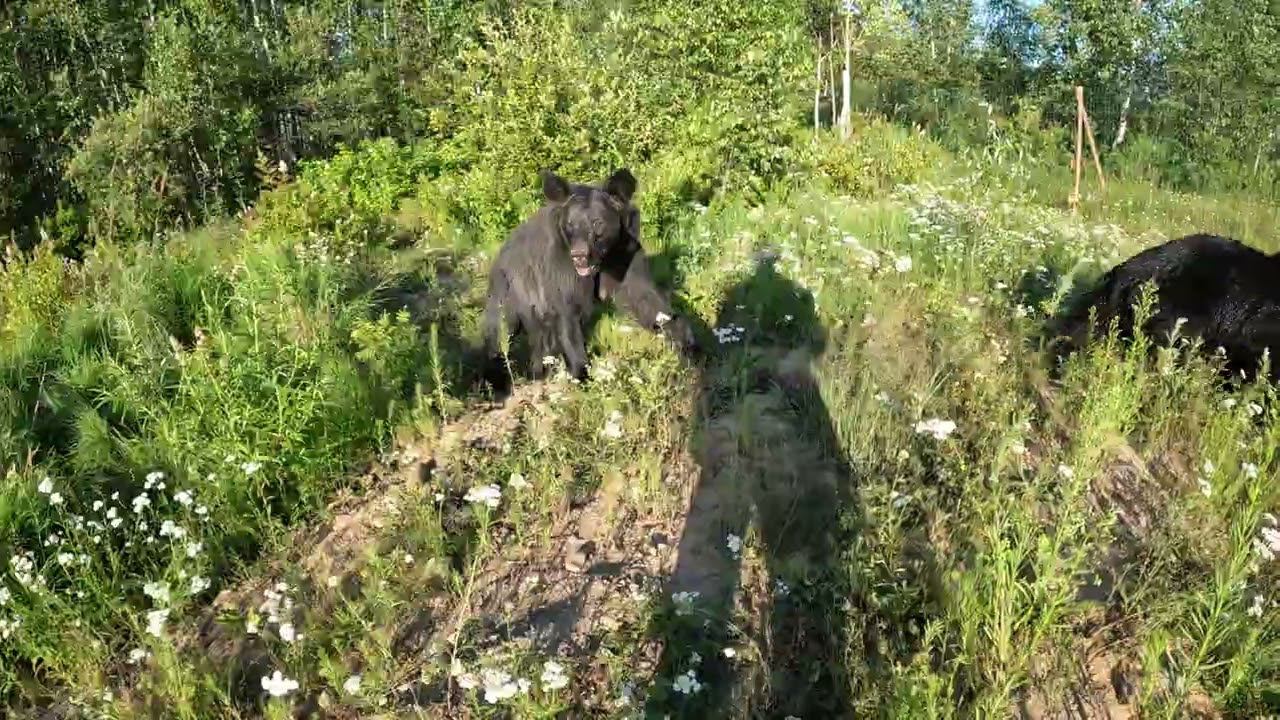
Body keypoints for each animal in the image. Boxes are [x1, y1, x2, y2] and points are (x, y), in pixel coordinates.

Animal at [480, 167, 697, 392]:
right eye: (570, 224)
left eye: (597, 223)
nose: (580, 255)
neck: (601, 261)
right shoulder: (560, 267)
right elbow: (568, 312)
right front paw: (580, 372)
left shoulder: (624, 255)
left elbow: (644, 297)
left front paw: (685, 341)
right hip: (511, 291)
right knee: (500, 330)